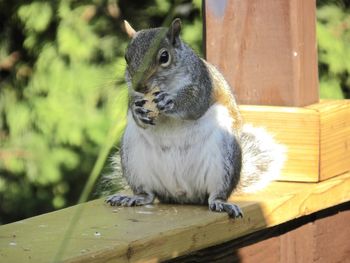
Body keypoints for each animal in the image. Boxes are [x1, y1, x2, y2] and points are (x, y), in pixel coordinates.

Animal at [105, 18, 286, 219]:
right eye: (126, 57)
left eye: (164, 57)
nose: (139, 86)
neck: (167, 84)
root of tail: (182, 194)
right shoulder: (135, 96)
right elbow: (136, 111)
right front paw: (137, 112)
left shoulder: (202, 83)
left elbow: (194, 104)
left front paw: (170, 101)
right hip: (133, 157)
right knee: (148, 194)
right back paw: (134, 197)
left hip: (225, 157)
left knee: (215, 194)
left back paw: (221, 202)